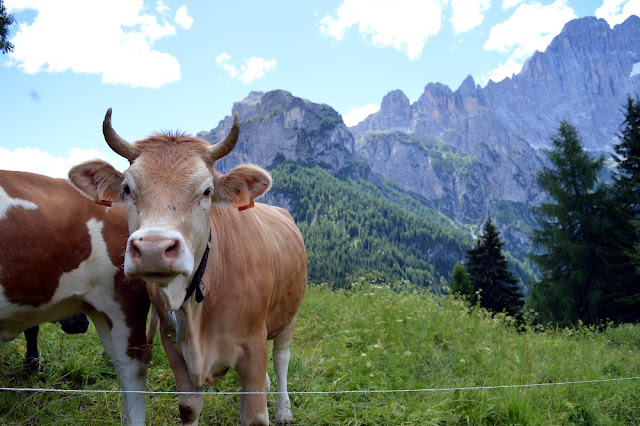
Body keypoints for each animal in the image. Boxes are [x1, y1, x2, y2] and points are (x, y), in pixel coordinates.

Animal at [70, 110, 308, 426]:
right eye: (127, 189)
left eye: (207, 191)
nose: (153, 249)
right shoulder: (174, 348)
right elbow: (189, 408)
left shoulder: (253, 346)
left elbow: (256, 416)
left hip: (289, 313)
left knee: (282, 357)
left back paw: (283, 409)